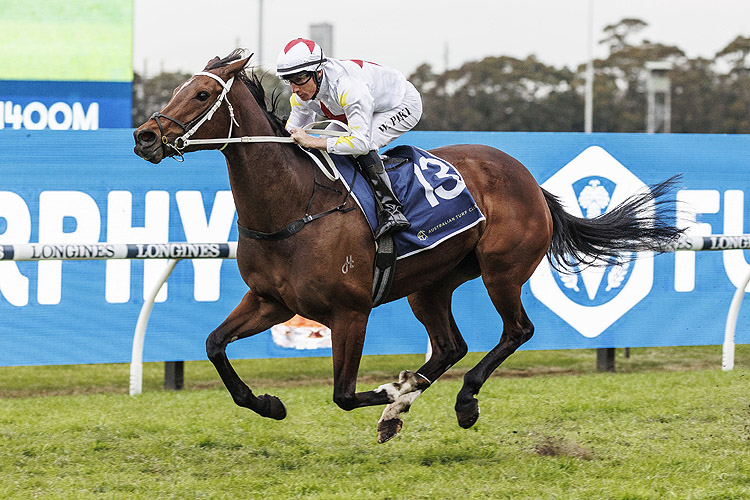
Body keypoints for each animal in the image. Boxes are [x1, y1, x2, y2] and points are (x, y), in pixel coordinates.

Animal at [132, 49, 684, 442]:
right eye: (180, 88)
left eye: (203, 93)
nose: (144, 137)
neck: (295, 206)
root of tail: (530, 181)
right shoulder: (271, 301)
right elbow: (214, 345)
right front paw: (270, 403)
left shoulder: (350, 311)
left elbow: (344, 394)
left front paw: (394, 394)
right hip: (430, 284)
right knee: (450, 345)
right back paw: (415, 397)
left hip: (501, 270)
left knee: (516, 331)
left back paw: (461, 401)